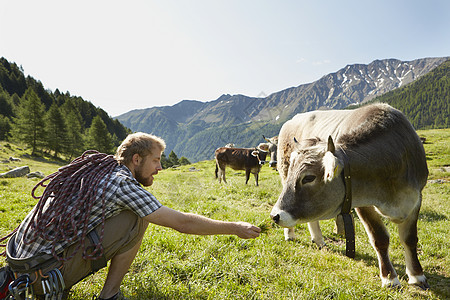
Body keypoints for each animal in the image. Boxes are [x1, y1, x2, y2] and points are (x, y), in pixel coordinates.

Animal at [270, 103, 428, 288]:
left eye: (308, 178)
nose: (275, 215)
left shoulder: (416, 198)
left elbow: (409, 239)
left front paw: (417, 275)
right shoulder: (363, 204)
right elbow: (379, 238)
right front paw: (390, 278)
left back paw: (318, 240)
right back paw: (291, 234)